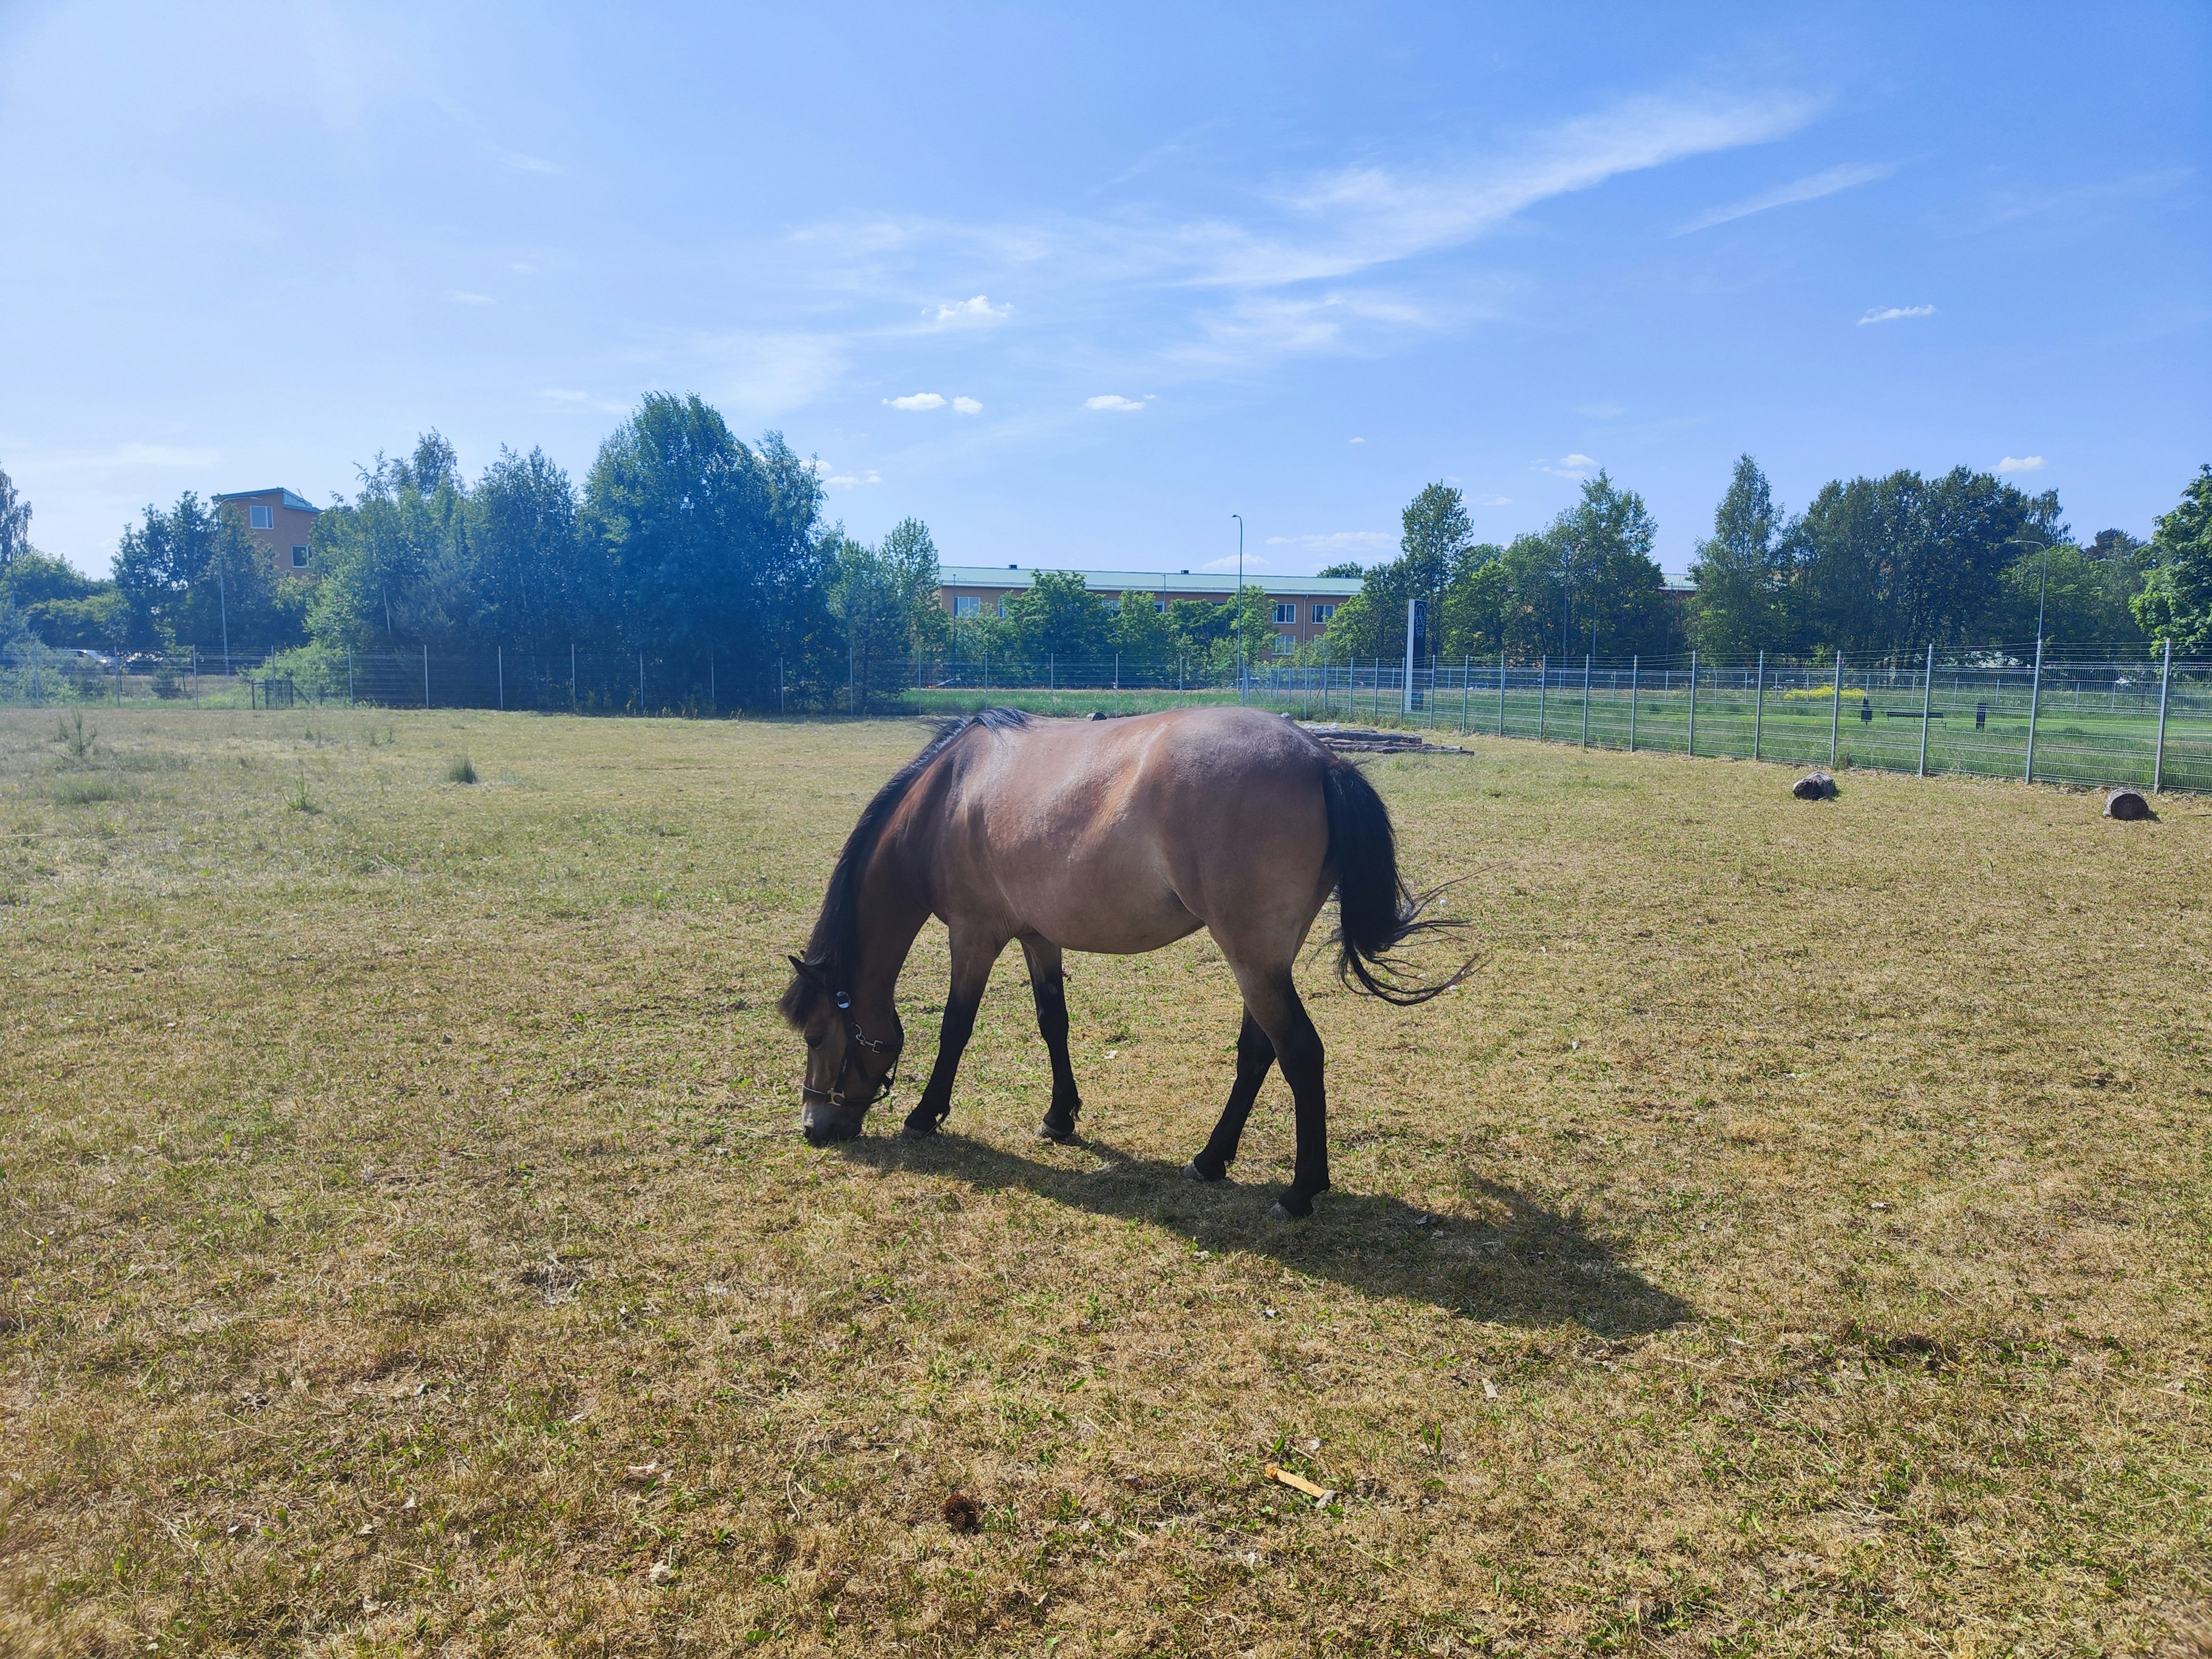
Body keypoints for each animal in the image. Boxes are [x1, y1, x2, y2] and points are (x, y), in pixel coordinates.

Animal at [778, 703, 1468, 1221]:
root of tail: (1324, 759)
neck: (949, 797)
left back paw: (1300, 1192)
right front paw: (1060, 1117)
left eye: (815, 1034)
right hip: (1266, 959)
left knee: (1299, 1053)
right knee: (1258, 1051)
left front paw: (925, 1115)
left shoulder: (973, 938)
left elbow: (956, 1028)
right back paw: (1210, 1161)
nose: (814, 1126)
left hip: (1250, 955)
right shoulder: (1039, 937)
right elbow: (1052, 1023)